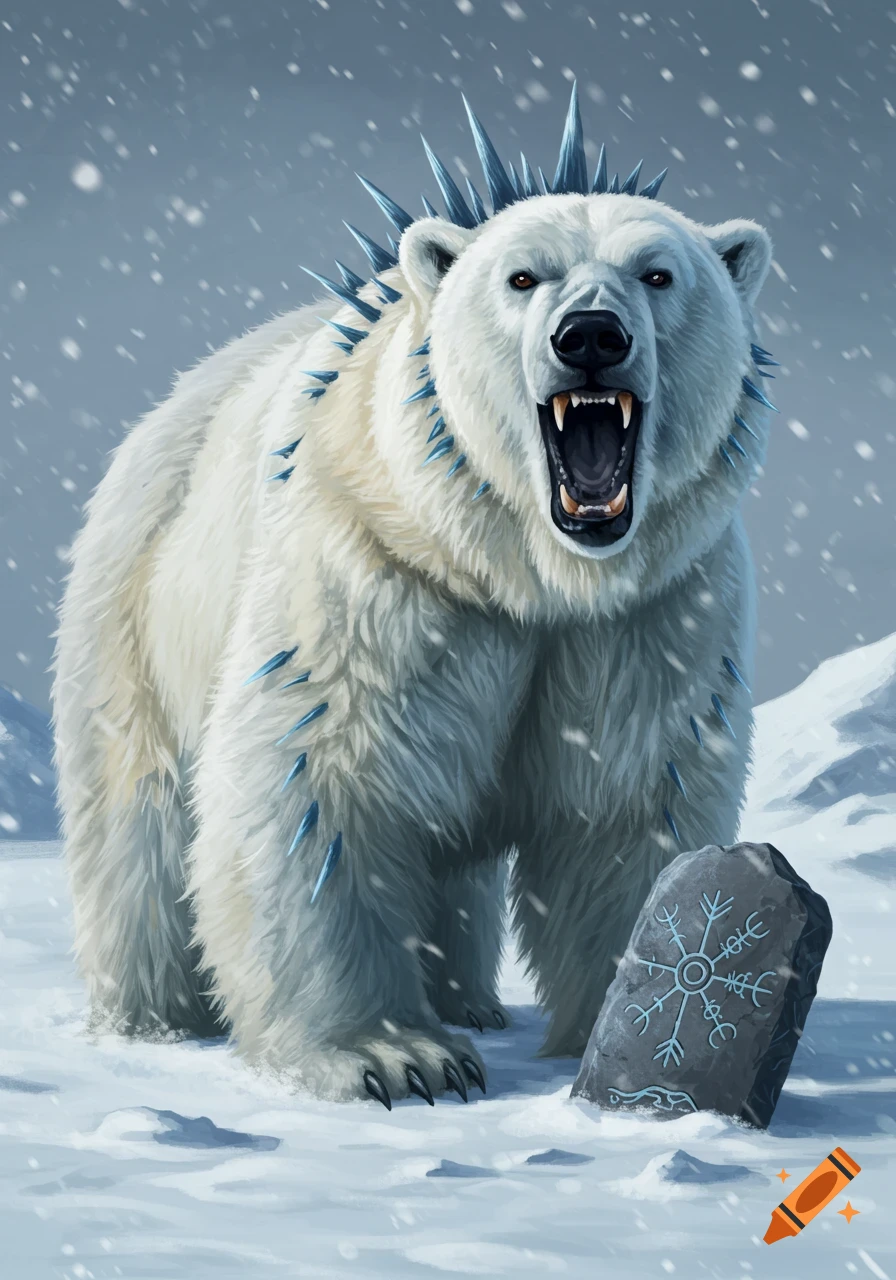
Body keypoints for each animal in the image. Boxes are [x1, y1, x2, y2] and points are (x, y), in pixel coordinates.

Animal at [53, 85, 775, 1109]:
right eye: (523, 277)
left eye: (660, 272)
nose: (591, 336)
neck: (528, 574)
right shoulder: (379, 572)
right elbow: (322, 783)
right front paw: (392, 1057)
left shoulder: (649, 616)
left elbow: (627, 809)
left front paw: (634, 1031)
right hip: (137, 608)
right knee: (139, 826)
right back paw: (154, 1019)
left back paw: (470, 1000)